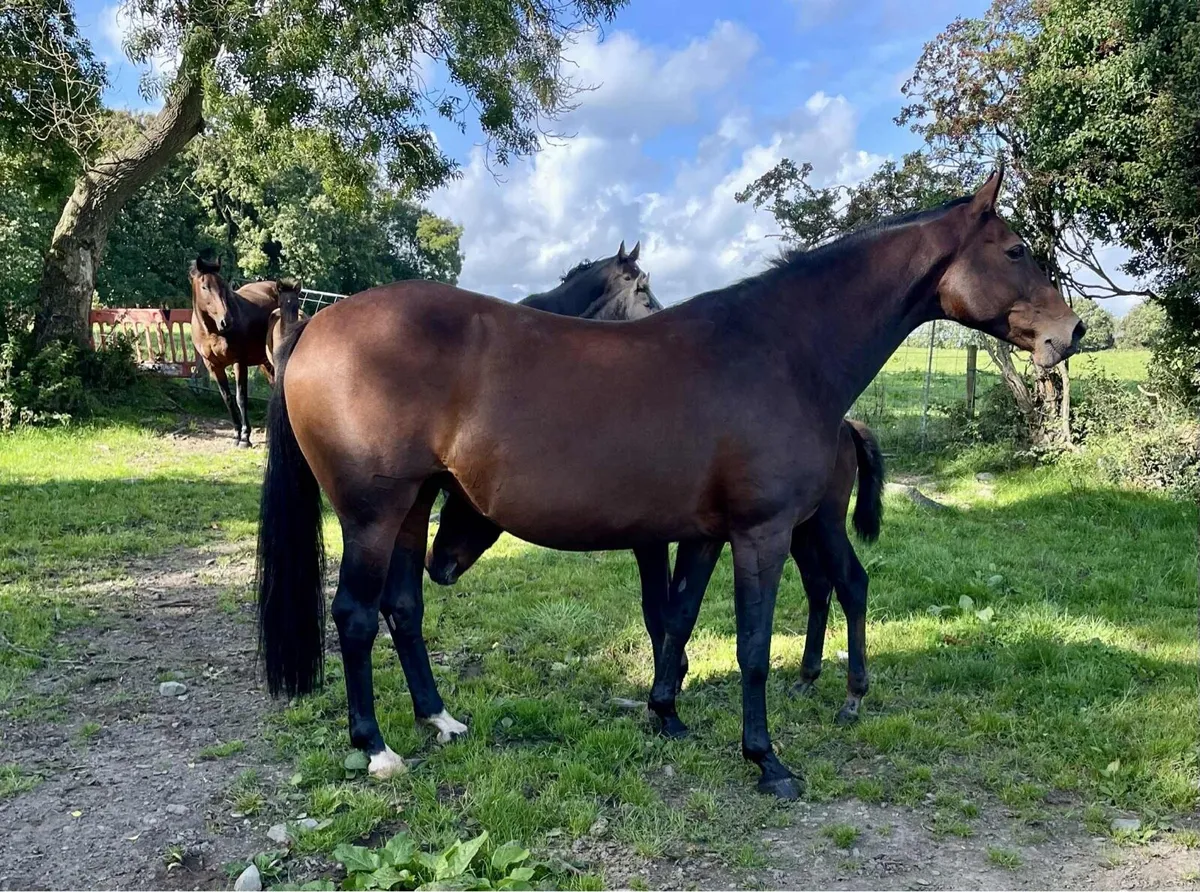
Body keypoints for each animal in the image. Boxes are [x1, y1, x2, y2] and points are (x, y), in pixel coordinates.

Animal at [188, 256, 297, 446]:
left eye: (224, 286)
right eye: (204, 287)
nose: (226, 320)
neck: (212, 332)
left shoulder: (239, 362)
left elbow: (241, 397)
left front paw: (245, 437)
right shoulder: (213, 366)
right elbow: (228, 398)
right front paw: (237, 433)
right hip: (265, 362)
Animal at [428, 416, 884, 725]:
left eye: (462, 505)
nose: (436, 565)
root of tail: (848, 424)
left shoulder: (651, 542)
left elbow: (658, 612)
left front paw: (671, 683)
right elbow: (667, 609)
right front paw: (673, 679)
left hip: (822, 522)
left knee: (852, 582)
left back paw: (853, 697)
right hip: (799, 529)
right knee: (818, 585)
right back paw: (807, 678)